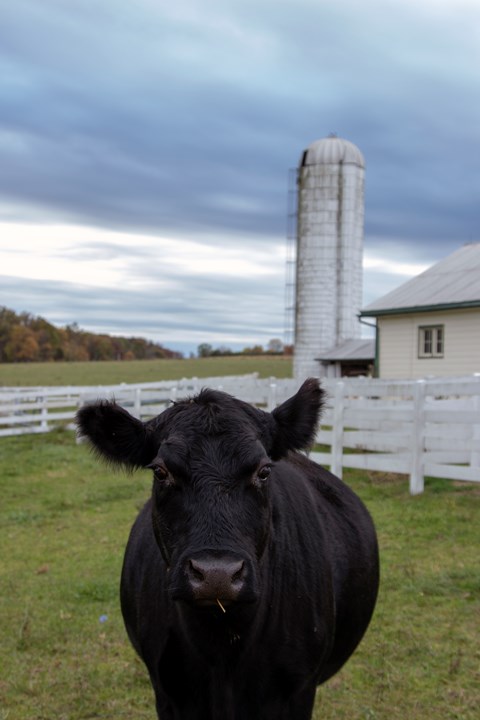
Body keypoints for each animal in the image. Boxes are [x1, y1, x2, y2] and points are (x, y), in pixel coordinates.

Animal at [76, 378, 379, 720]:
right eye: (160, 472)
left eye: (263, 471)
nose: (216, 574)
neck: (222, 646)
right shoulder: (166, 691)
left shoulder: (300, 691)